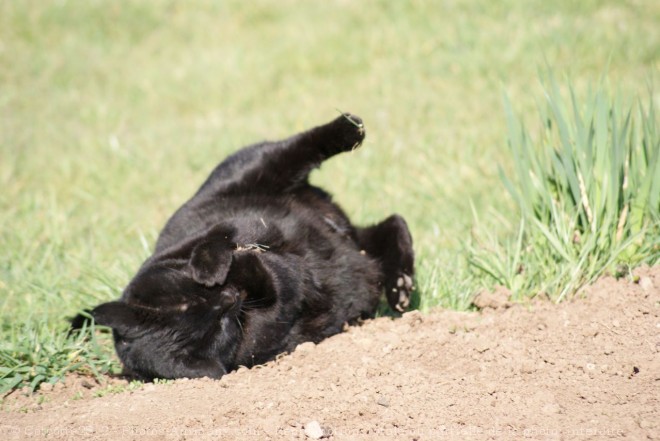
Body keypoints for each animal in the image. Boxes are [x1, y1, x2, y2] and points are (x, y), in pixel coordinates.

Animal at [72, 113, 412, 378]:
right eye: (217, 325)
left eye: (191, 296)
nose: (229, 296)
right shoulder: (271, 316)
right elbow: (272, 280)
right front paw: (245, 267)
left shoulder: (221, 229)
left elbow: (221, 233)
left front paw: (211, 265)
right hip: (355, 246)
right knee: (390, 226)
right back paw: (401, 288)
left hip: (250, 171)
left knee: (297, 148)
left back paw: (351, 128)